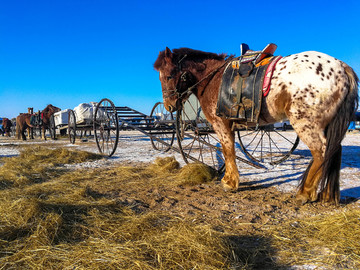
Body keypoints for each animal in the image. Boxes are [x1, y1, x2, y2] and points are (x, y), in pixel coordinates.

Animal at [153, 47, 358, 204]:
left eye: (169, 76)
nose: (169, 106)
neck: (213, 79)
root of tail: (341, 67)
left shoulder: (221, 124)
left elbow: (227, 151)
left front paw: (229, 182)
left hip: (306, 124)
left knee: (321, 153)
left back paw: (305, 193)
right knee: (332, 151)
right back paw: (326, 195)